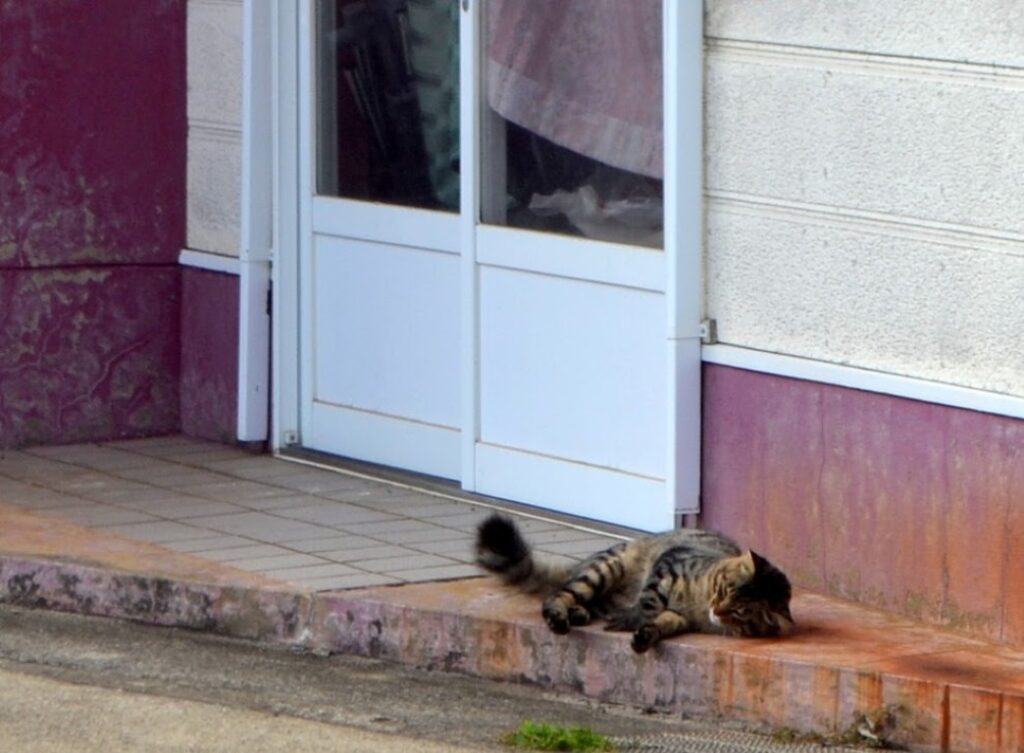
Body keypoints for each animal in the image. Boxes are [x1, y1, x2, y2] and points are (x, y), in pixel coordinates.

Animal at [474, 514, 794, 653]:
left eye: (740, 611)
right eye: (725, 590)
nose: (718, 609)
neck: (698, 605)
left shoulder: (680, 617)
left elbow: (663, 623)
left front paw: (646, 635)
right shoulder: (667, 566)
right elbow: (648, 602)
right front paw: (632, 619)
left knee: (583, 601)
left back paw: (579, 613)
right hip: (604, 569)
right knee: (558, 595)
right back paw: (560, 615)